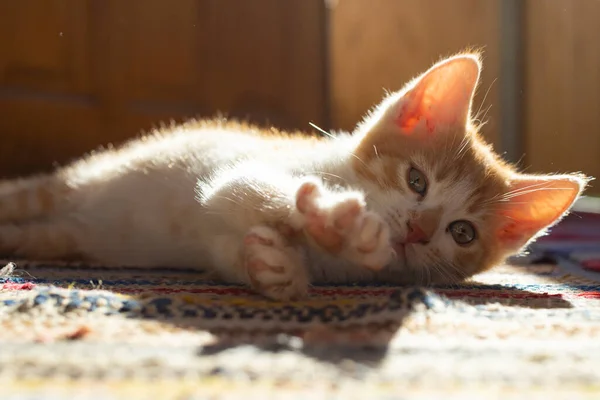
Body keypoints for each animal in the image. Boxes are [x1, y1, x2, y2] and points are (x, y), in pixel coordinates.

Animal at [0, 54, 592, 302]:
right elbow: (245, 187)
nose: (417, 231)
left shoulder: (219, 242)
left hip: (66, 235)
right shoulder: (242, 172)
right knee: (27, 196)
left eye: (462, 232)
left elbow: (236, 250)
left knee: (38, 232)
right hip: (62, 187)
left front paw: (275, 267)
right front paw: (336, 221)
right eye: (416, 181)